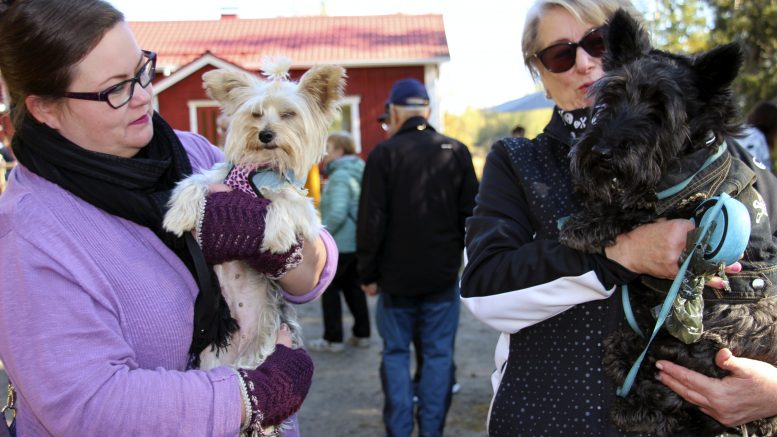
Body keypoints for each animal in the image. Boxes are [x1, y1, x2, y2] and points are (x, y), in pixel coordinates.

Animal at [560, 7, 776, 436]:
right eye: (612, 97)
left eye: (660, 109)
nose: (602, 151)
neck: (686, 156)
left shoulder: (697, 205)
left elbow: (640, 208)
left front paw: (587, 223)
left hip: (690, 341)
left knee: (665, 388)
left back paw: (635, 410)